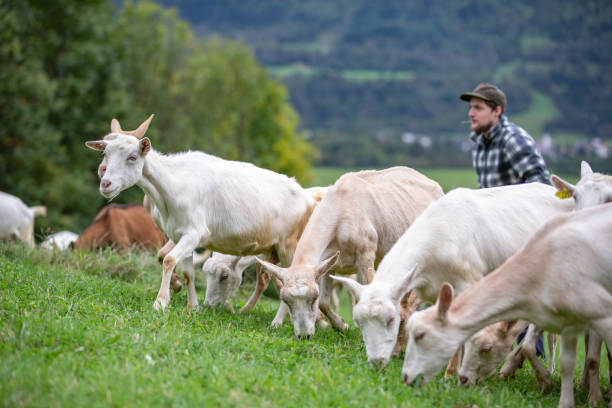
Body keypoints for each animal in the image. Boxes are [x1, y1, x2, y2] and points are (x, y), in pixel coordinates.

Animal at [86, 115, 318, 312]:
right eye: (105, 154)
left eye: (132, 157)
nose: (105, 183)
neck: (173, 183)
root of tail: (307, 197)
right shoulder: (180, 235)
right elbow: (188, 272)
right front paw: (192, 306)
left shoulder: (194, 232)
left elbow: (169, 260)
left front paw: (160, 302)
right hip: (274, 250)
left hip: (290, 246)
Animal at [256, 167, 442, 340]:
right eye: (286, 300)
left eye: (312, 298)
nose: (303, 335)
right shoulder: (330, 263)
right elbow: (325, 302)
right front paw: (341, 326)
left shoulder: (365, 256)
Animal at [332, 182, 572, 366]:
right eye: (358, 321)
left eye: (393, 319)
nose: (377, 362)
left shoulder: (468, 284)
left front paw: (452, 374)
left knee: (552, 334)